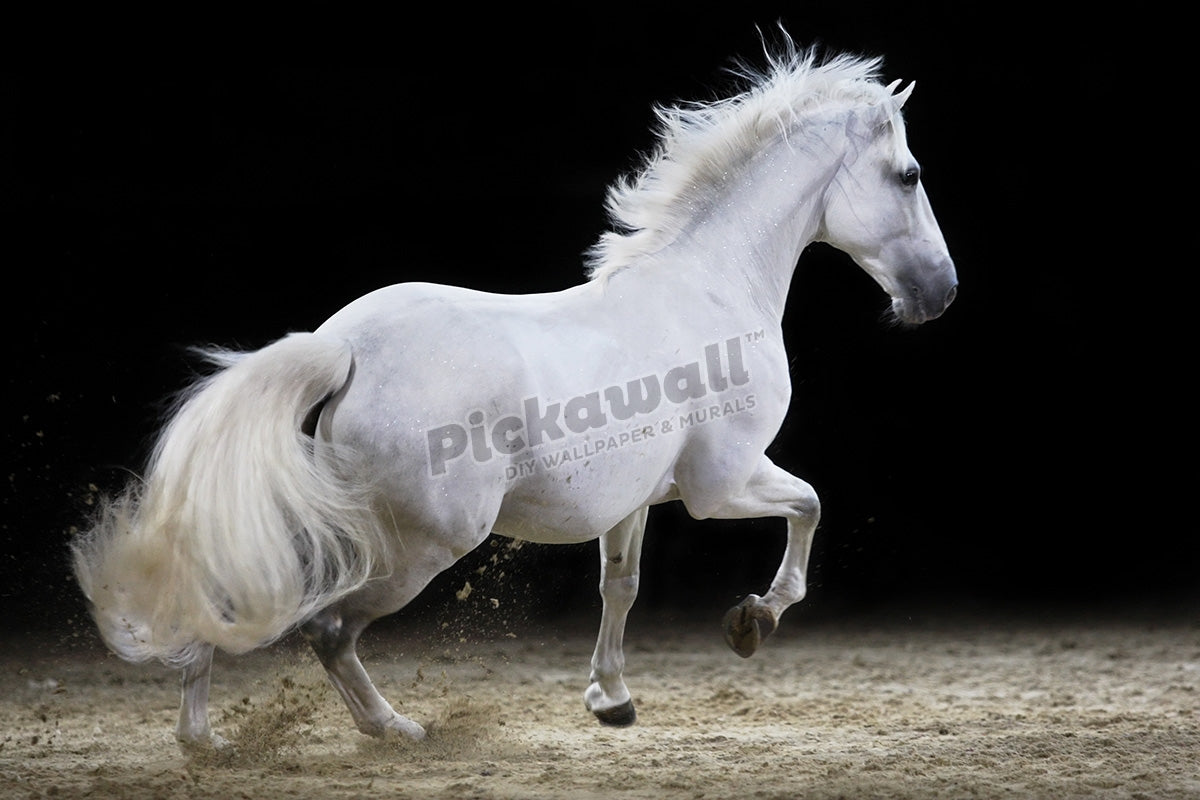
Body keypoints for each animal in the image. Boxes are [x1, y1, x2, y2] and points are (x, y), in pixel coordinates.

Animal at [71, 36, 956, 749]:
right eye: (910, 175)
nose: (941, 294)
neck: (712, 286)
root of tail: (345, 348)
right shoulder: (722, 484)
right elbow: (808, 510)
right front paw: (751, 622)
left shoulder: (634, 502)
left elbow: (621, 587)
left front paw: (611, 700)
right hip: (420, 546)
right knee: (325, 628)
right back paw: (394, 729)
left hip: (332, 522)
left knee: (234, 596)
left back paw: (202, 739)